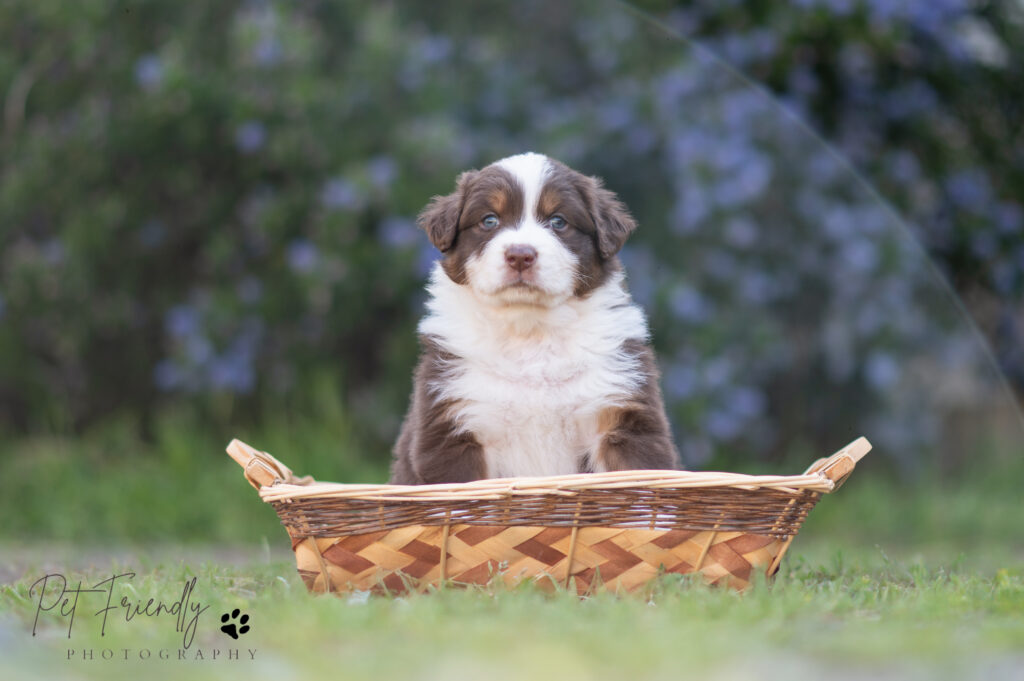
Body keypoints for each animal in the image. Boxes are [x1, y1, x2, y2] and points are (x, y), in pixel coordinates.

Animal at [389, 153, 679, 483]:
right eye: (489, 220)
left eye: (558, 222)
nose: (520, 255)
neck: (530, 332)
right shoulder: (454, 426)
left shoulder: (622, 417)